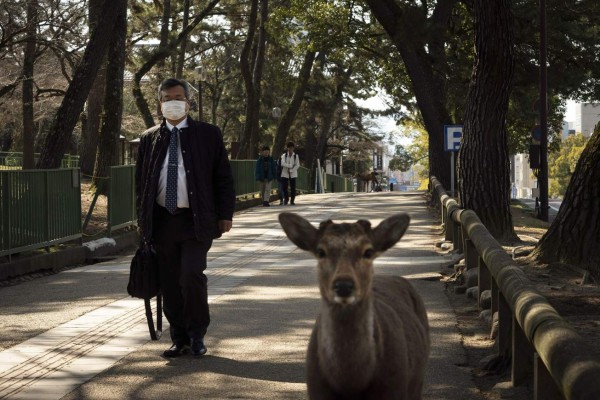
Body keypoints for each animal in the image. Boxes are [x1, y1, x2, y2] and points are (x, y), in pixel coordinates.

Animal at [278, 212, 428, 400]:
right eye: (320, 251)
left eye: (368, 251)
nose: (343, 285)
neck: (351, 384)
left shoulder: (395, 388)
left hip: (418, 382)